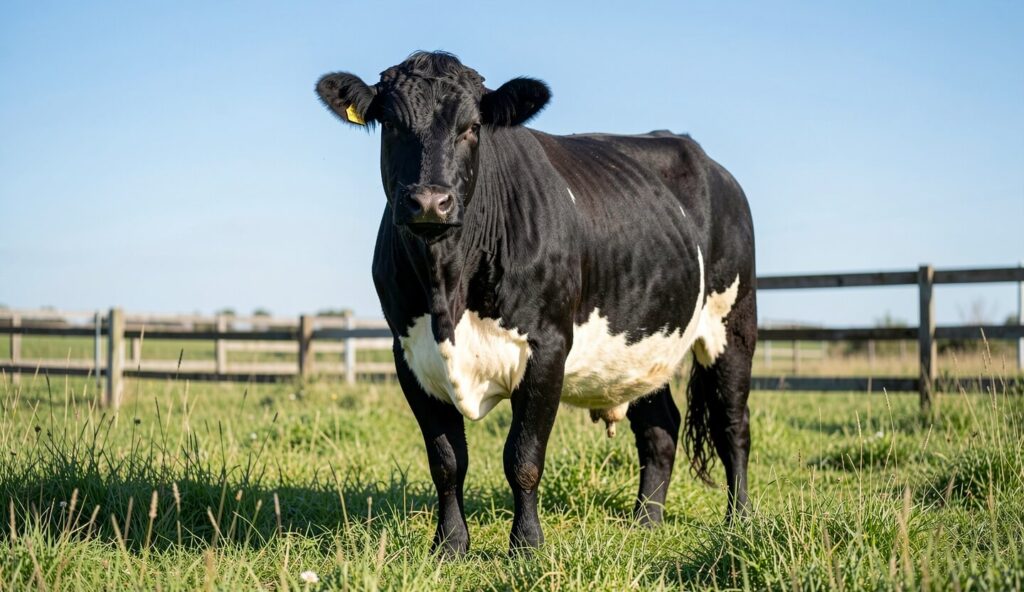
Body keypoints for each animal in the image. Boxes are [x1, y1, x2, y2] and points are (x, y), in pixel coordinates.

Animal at [315, 51, 756, 555]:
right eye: (390, 123)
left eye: (472, 126)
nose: (430, 201)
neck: (449, 289)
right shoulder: (408, 352)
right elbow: (446, 460)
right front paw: (449, 545)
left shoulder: (547, 347)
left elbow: (522, 456)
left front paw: (525, 544)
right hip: (645, 343)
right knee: (660, 428)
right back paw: (645, 523)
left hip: (734, 322)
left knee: (732, 424)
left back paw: (739, 521)